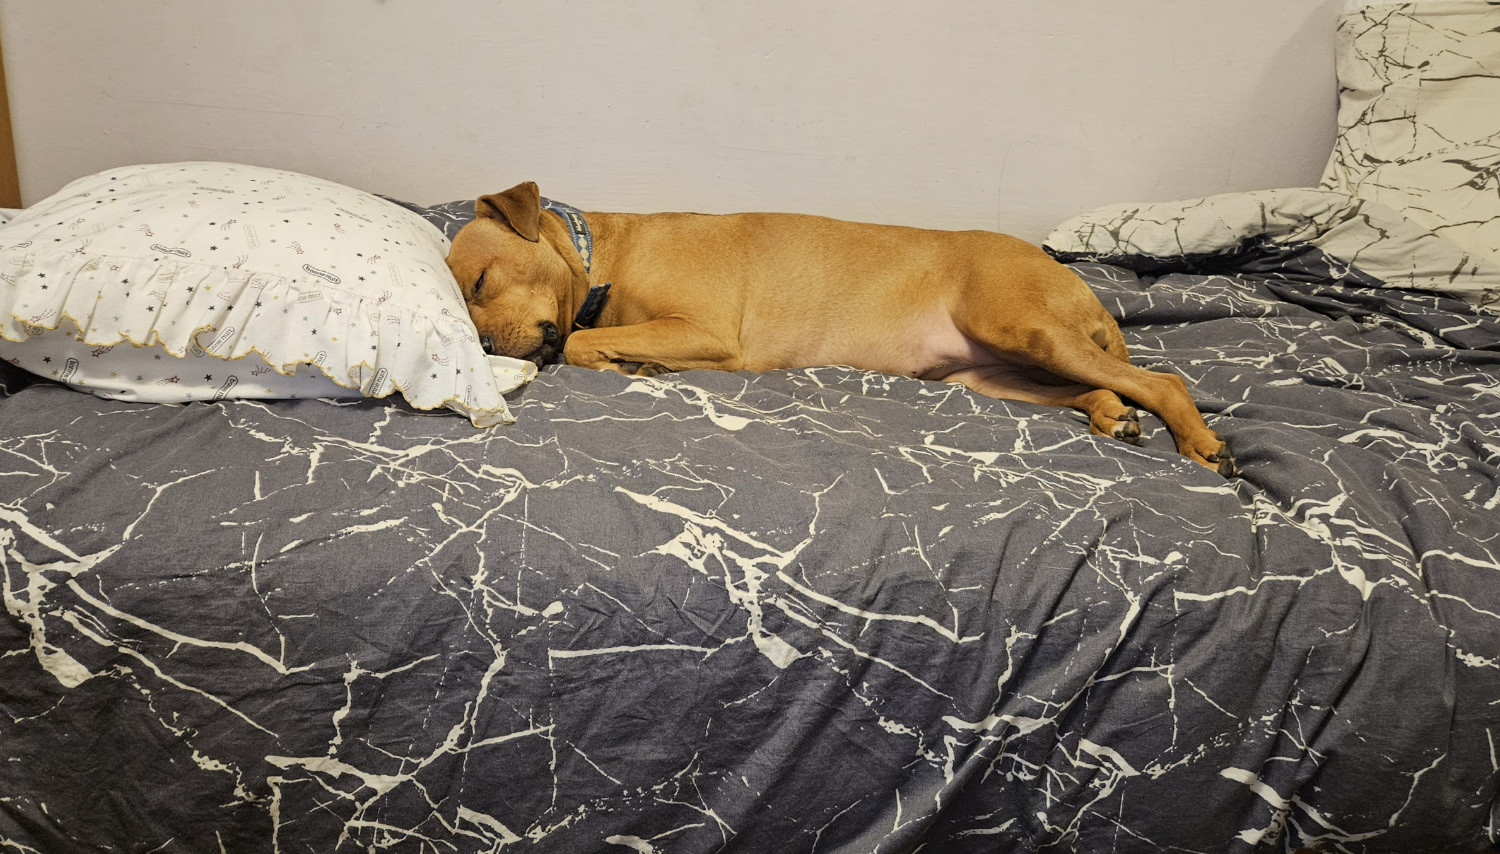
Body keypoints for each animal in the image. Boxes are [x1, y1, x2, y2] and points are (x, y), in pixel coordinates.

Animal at [450, 180, 1236, 477]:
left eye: (481, 283)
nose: (481, 348)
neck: (602, 258)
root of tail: (1075, 282)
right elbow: (587, 342)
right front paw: (635, 364)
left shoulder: (708, 330)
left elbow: (580, 343)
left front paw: (624, 361)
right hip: (996, 373)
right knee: (1102, 387)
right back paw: (1111, 415)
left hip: (1021, 330)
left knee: (1162, 379)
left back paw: (1200, 443)